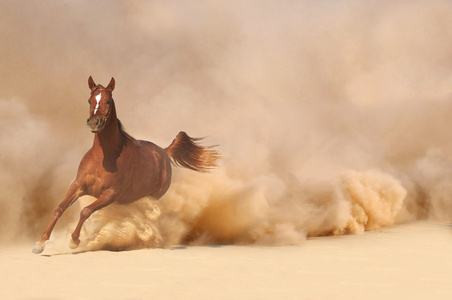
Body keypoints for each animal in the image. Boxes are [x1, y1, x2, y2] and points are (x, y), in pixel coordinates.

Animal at [31, 75, 219, 253]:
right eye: (90, 100)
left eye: (108, 100)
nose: (94, 123)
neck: (103, 158)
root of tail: (164, 151)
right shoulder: (78, 185)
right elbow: (59, 208)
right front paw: (40, 243)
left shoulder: (110, 194)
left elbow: (85, 211)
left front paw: (74, 241)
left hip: (153, 196)